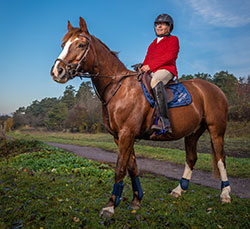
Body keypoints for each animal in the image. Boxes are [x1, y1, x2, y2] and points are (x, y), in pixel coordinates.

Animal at [49, 17, 231, 217]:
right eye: (63, 44)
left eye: (81, 44)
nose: (57, 71)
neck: (118, 87)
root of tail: (215, 89)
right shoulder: (120, 137)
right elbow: (132, 168)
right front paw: (137, 200)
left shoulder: (126, 134)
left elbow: (120, 169)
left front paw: (110, 206)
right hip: (192, 133)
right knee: (191, 158)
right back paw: (178, 190)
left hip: (216, 130)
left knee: (221, 158)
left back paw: (225, 194)